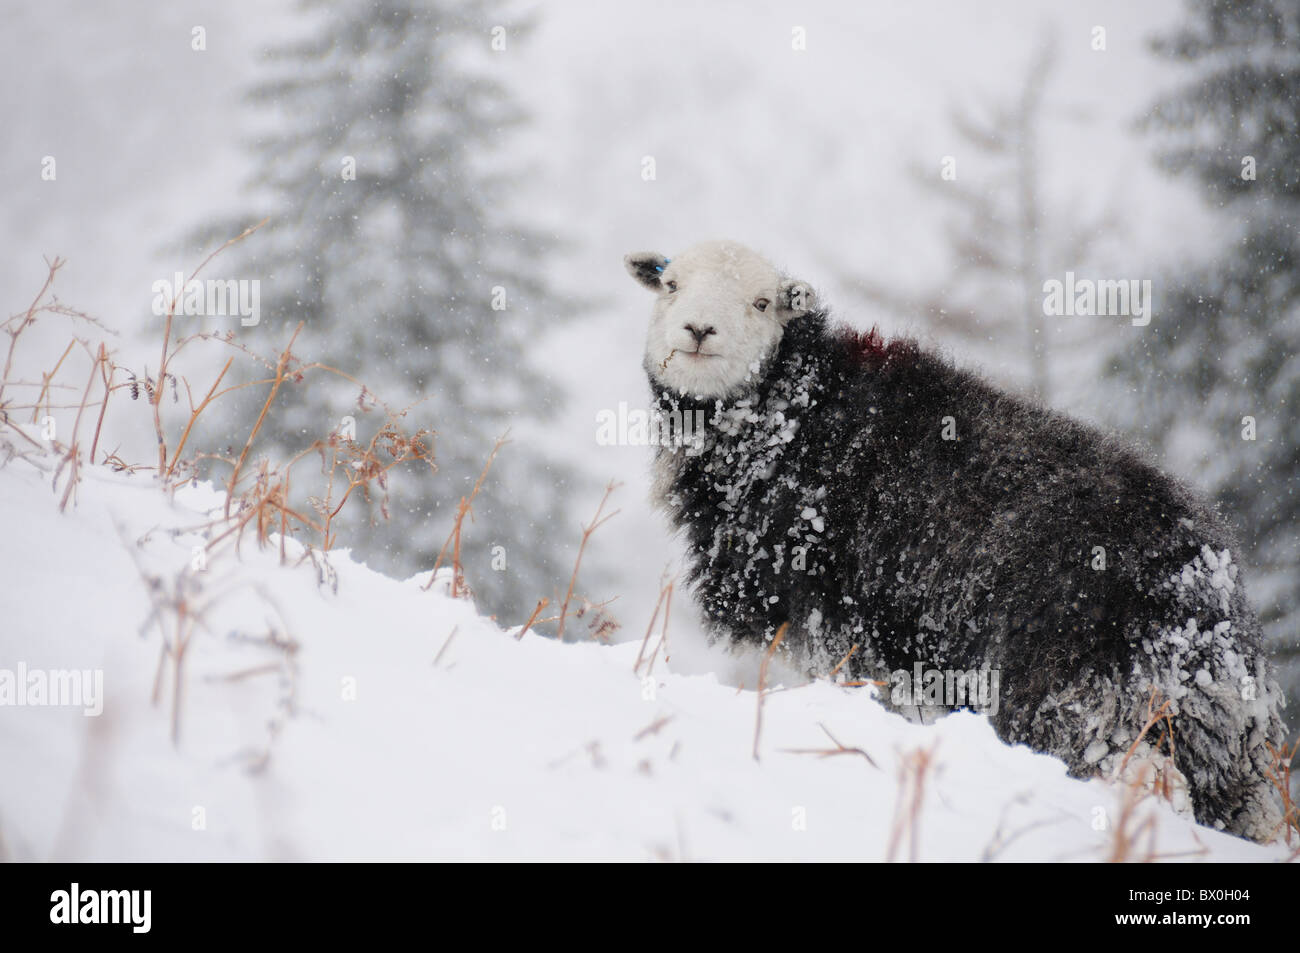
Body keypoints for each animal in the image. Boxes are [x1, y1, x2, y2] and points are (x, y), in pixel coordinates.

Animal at [626, 237, 1289, 842]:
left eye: (762, 303)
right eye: (670, 286)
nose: (699, 330)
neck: (793, 419)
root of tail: (1209, 603)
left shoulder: (837, 624)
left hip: (1088, 708)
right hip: (1213, 756)